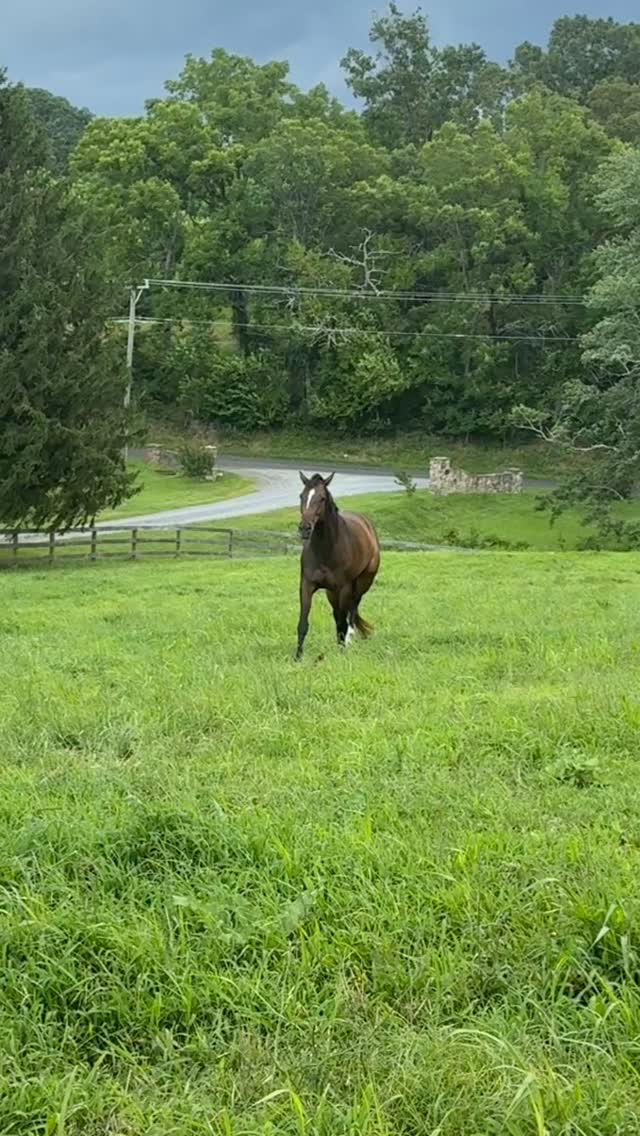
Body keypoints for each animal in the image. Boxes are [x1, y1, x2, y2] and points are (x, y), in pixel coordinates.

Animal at [295, 472, 380, 660]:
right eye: (301, 496)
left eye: (322, 498)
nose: (305, 528)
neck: (325, 550)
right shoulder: (307, 585)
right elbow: (303, 623)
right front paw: (297, 657)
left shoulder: (343, 588)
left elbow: (342, 622)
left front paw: (342, 653)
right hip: (331, 592)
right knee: (340, 614)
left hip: (362, 583)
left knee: (352, 611)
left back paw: (349, 639)